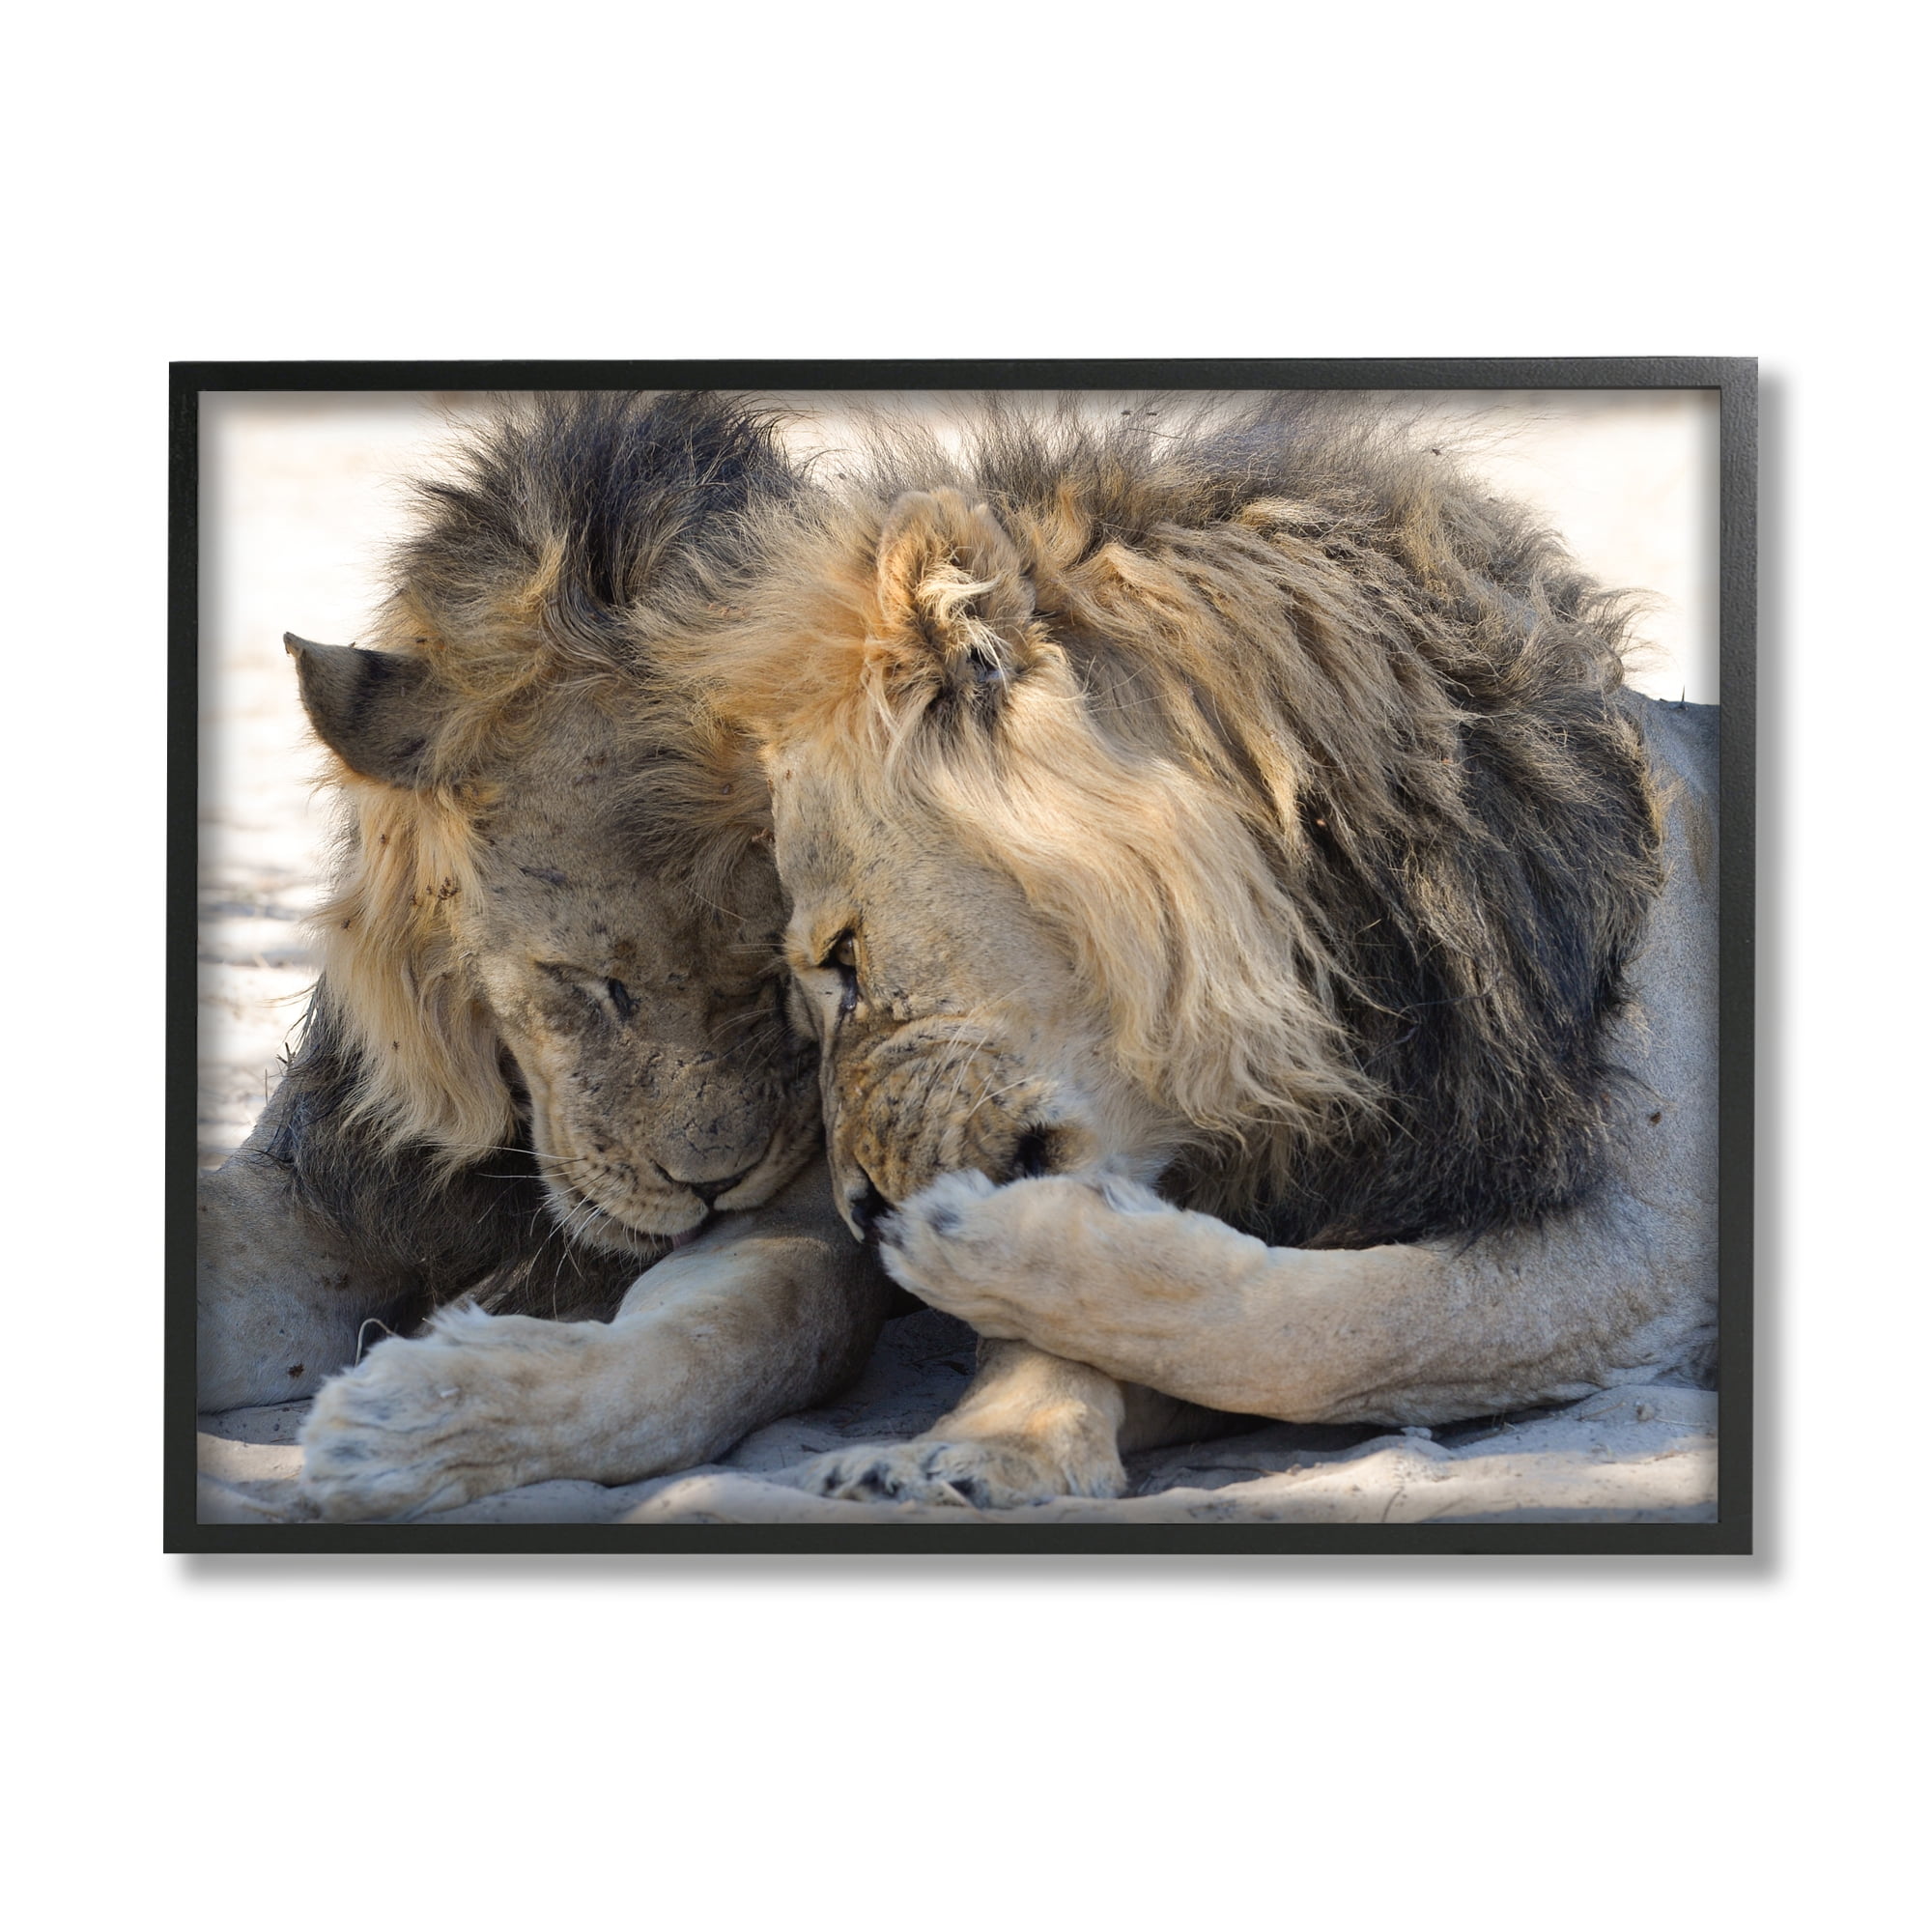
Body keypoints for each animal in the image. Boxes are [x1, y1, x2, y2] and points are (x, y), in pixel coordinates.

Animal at [197, 391, 892, 1520]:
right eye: (590, 984)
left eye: (781, 981)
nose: (712, 1183)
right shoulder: (326, 1180)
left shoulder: (808, 1216)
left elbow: (738, 1335)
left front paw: (420, 1421)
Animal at [678, 395, 1720, 1510]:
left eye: (844, 956)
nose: (862, 1212)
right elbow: (1111, 1335)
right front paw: (988, 1442)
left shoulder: (1645, 1246)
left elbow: (1330, 1328)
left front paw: (978, 1250)